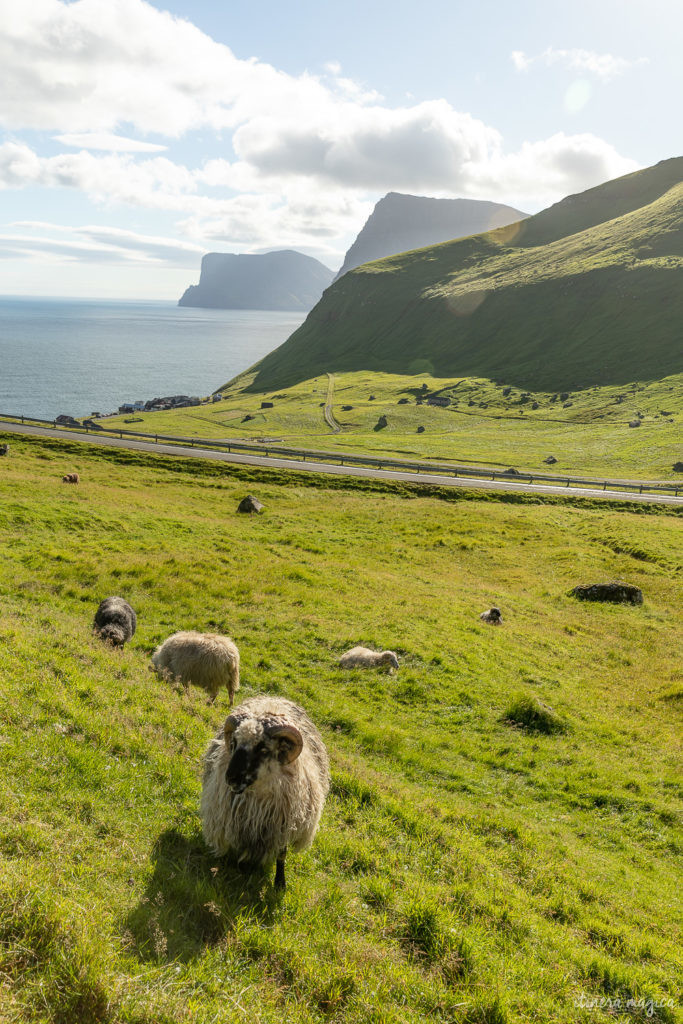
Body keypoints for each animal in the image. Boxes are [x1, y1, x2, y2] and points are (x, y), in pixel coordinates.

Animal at [200, 696, 331, 888]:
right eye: (234, 743)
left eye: (262, 749)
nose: (231, 778)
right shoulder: (238, 823)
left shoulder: (283, 827)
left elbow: (281, 855)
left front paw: (280, 883)